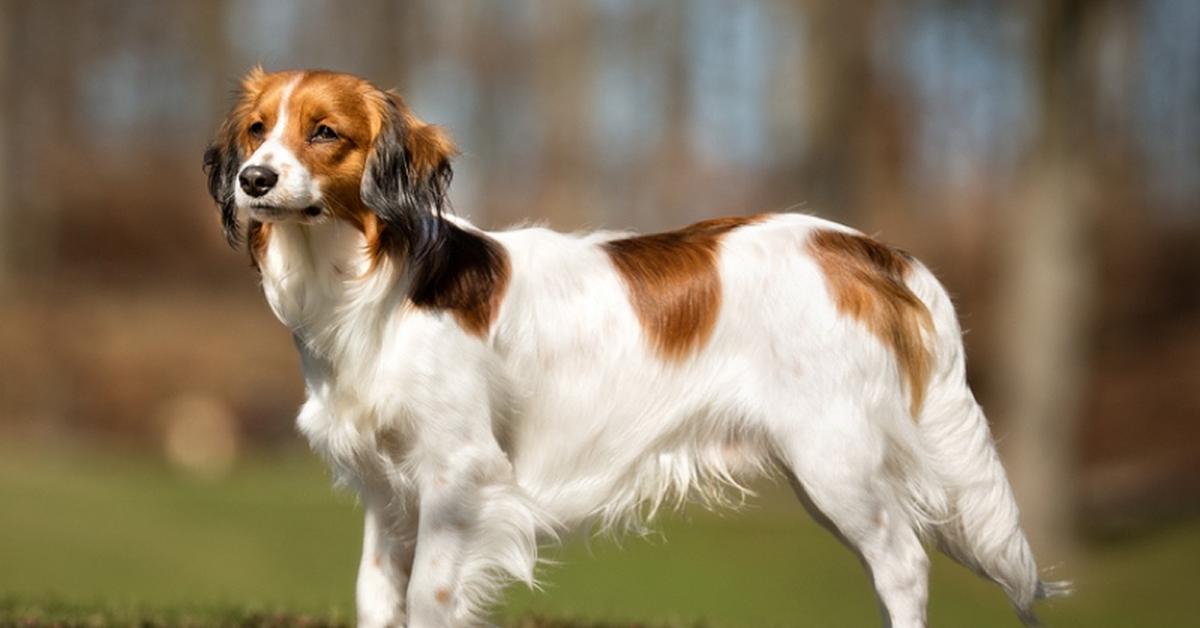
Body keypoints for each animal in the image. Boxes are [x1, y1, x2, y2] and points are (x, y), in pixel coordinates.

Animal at [206, 68, 1070, 628]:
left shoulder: (458, 476)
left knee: (904, 564)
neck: (372, 288)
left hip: (837, 461)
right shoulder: (389, 493)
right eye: (258, 130)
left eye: (325, 134)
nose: (253, 180)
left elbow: (428, 600)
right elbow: (377, 597)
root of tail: (862, 247)